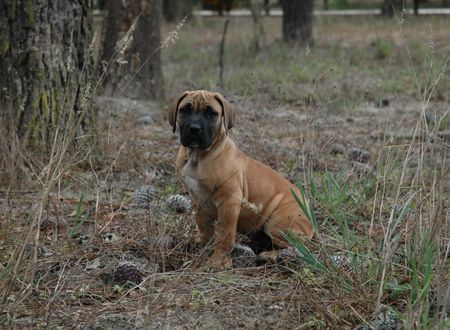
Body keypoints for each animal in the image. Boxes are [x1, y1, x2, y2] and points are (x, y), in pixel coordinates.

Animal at [169, 90, 312, 268]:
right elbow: (204, 227)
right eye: (185, 110)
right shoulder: (198, 201)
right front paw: (203, 246)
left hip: (278, 224)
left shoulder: (229, 202)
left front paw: (218, 261)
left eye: (211, 113)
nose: (194, 129)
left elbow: (225, 234)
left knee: (299, 249)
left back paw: (269, 256)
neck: (197, 156)